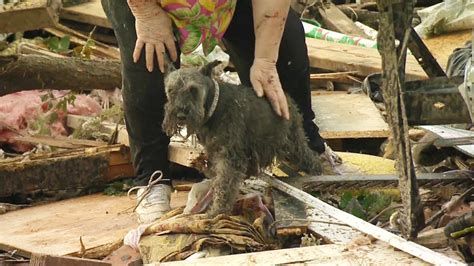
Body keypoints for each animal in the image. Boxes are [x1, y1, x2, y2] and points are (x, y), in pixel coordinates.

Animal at [163, 61, 322, 217]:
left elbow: (224, 185)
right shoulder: (215, 151)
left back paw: (317, 173)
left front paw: (217, 211)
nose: (180, 115)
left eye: (193, 89)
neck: (214, 106)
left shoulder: (230, 157)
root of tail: (288, 99)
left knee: (308, 158)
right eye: (170, 90)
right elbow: (217, 178)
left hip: (291, 142)